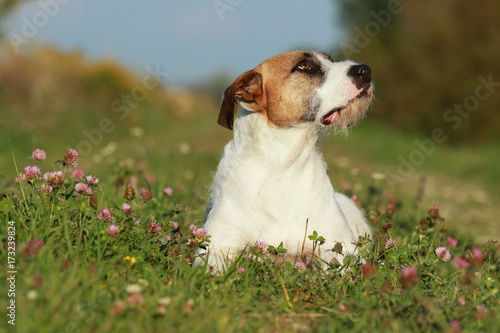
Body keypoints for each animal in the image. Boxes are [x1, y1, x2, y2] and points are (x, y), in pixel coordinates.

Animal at [193, 50, 374, 272]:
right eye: (304, 66)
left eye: (331, 60)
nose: (365, 70)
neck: (283, 167)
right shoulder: (217, 245)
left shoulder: (342, 247)